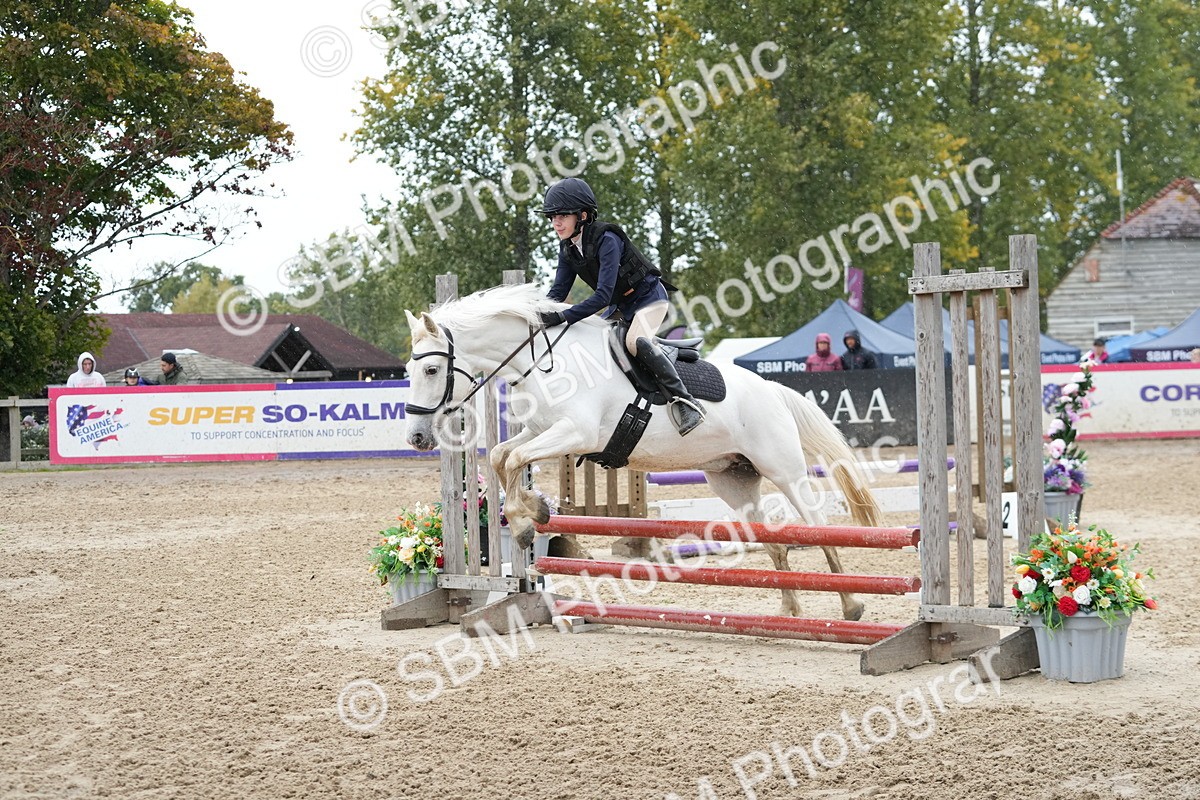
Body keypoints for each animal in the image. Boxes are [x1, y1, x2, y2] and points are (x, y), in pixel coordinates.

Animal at [402, 283, 881, 621]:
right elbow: (503, 455)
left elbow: (515, 459)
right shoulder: (542, 431)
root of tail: (774, 389)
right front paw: (530, 514)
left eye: (432, 369)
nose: (417, 438)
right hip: (733, 479)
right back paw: (789, 610)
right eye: (408, 369)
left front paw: (527, 519)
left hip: (784, 469)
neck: (542, 363)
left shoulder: (576, 433)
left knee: (817, 527)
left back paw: (851, 606)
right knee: (774, 541)